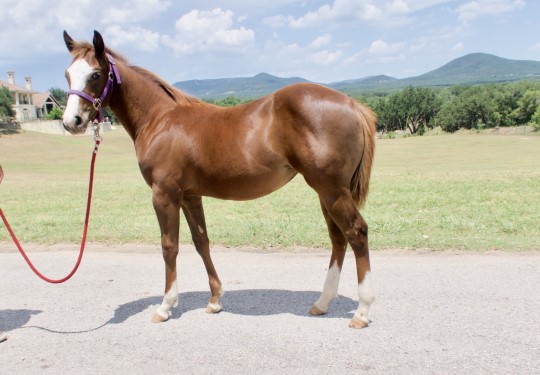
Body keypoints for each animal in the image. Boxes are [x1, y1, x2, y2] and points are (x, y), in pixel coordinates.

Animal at [62, 30, 376, 328]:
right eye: (67, 74)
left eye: (95, 74)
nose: (71, 122)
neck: (160, 120)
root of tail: (351, 103)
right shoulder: (190, 196)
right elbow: (201, 241)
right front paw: (214, 300)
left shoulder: (164, 194)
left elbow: (169, 246)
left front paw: (165, 306)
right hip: (327, 192)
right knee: (338, 238)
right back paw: (322, 303)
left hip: (332, 190)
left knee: (356, 232)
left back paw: (362, 312)